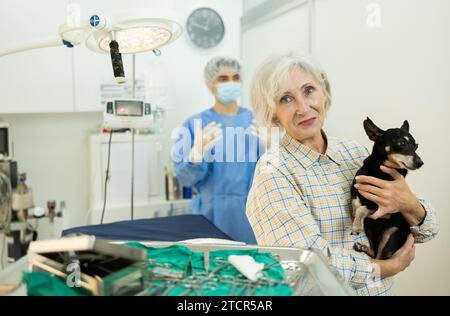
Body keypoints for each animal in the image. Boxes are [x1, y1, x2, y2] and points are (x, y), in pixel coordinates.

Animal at [352, 118, 426, 260]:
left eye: (416, 146)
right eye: (402, 143)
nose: (420, 163)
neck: (380, 171)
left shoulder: (383, 208)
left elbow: (362, 208)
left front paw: (356, 225)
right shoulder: (356, 188)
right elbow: (356, 203)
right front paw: (355, 216)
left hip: (389, 235)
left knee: (379, 257)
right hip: (370, 230)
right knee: (374, 253)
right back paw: (362, 247)